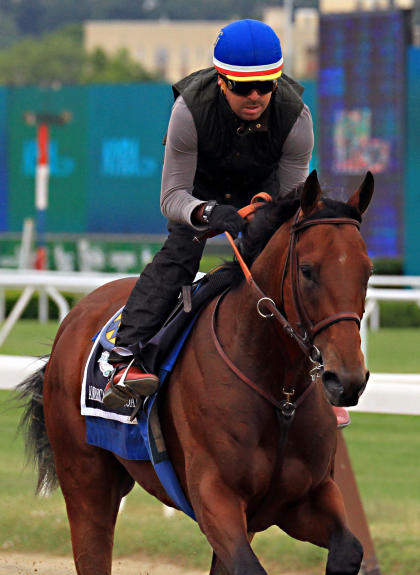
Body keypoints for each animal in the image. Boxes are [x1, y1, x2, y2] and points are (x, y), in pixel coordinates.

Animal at [18, 172, 374, 575]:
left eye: (367, 271)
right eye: (307, 270)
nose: (346, 379)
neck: (279, 394)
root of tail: (74, 317)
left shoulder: (303, 499)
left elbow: (349, 549)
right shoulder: (214, 496)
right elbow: (248, 566)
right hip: (86, 480)